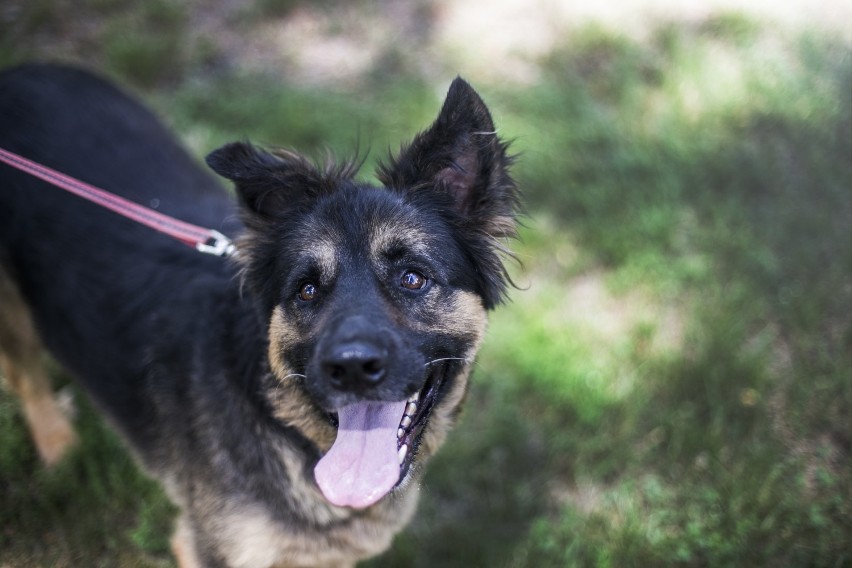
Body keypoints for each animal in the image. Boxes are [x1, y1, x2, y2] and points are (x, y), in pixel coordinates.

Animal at [0, 64, 520, 568]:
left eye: (412, 278)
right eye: (307, 291)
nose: (351, 368)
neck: (287, 427)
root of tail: (23, 70)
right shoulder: (208, 549)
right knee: (27, 378)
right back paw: (60, 448)